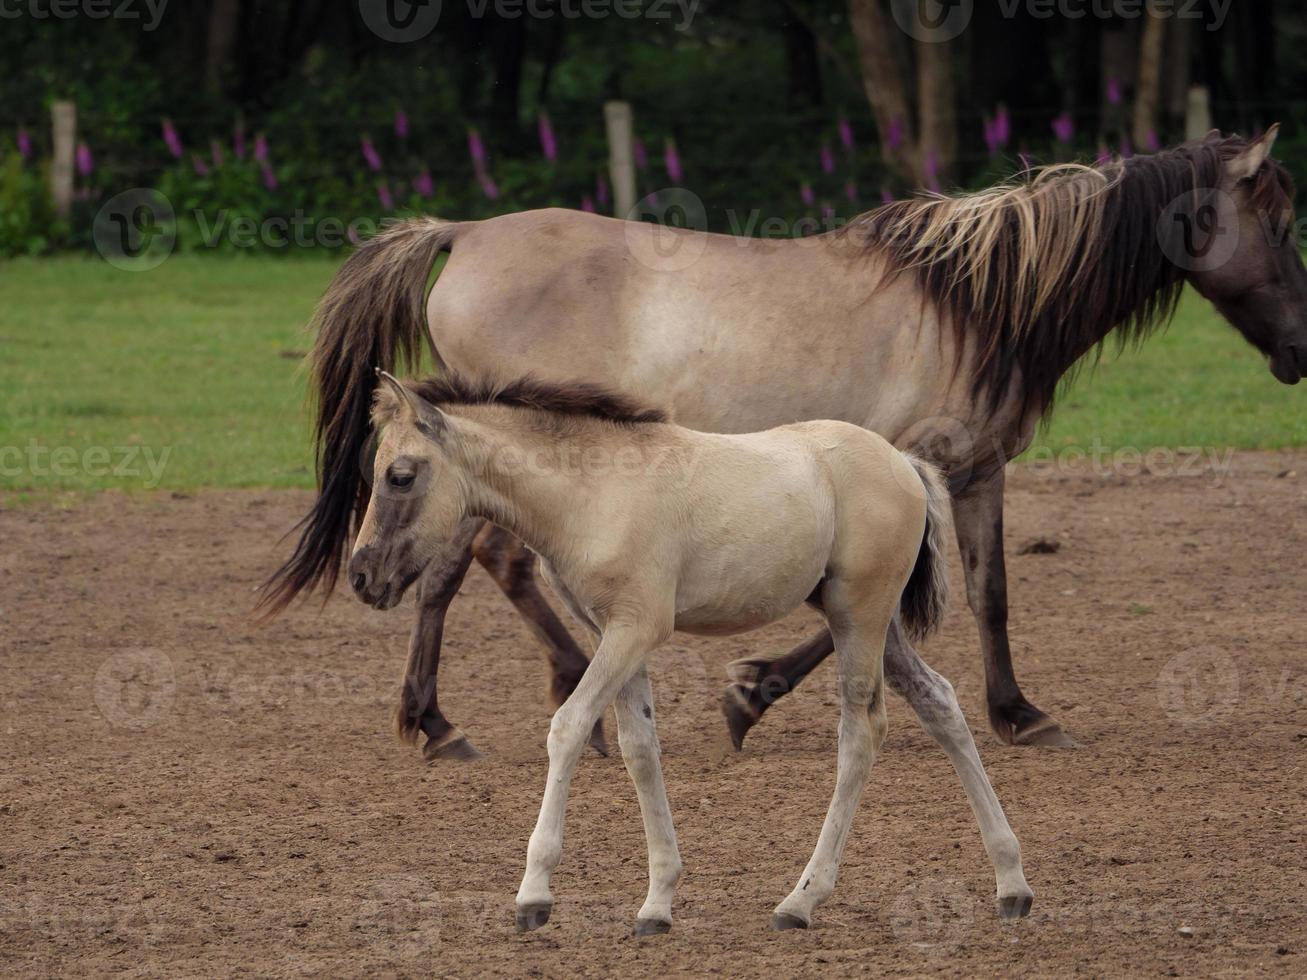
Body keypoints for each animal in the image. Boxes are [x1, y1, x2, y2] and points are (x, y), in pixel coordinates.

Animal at [260, 128, 1301, 757]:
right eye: (1281, 220)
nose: (1299, 348)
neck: (970, 300)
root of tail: (466, 232)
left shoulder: (976, 472)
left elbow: (991, 593)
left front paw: (1018, 713)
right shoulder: (915, 470)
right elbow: (866, 607)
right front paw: (750, 691)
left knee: (491, 567)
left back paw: (551, 700)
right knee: (458, 567)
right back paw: (441, 721)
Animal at [347, 373, 1029, 935]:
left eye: (400, 475)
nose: (361, 577)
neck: (592, 491)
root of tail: (906, 463)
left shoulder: (636, 630)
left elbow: (568, 727)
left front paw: (534, 895)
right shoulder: (611, 633)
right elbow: (639, 749)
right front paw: (657, 904)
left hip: (858, 619)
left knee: (861, 734)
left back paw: (801, 900)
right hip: (870, 622)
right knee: (940, 702)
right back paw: (1012, 884)